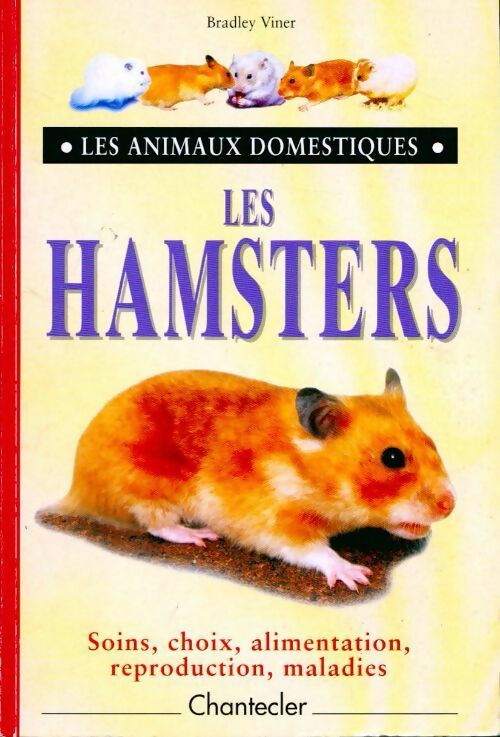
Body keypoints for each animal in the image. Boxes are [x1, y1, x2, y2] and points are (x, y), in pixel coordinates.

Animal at [53, 369, 455, 591]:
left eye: (433, 442)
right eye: (392, 458)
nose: (450, 506)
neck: (302, 466)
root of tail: (74, 489)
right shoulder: (273, 522)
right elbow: (313, 550)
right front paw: (356, 575)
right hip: (146, 488)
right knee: (157, 525)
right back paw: (199, 536)